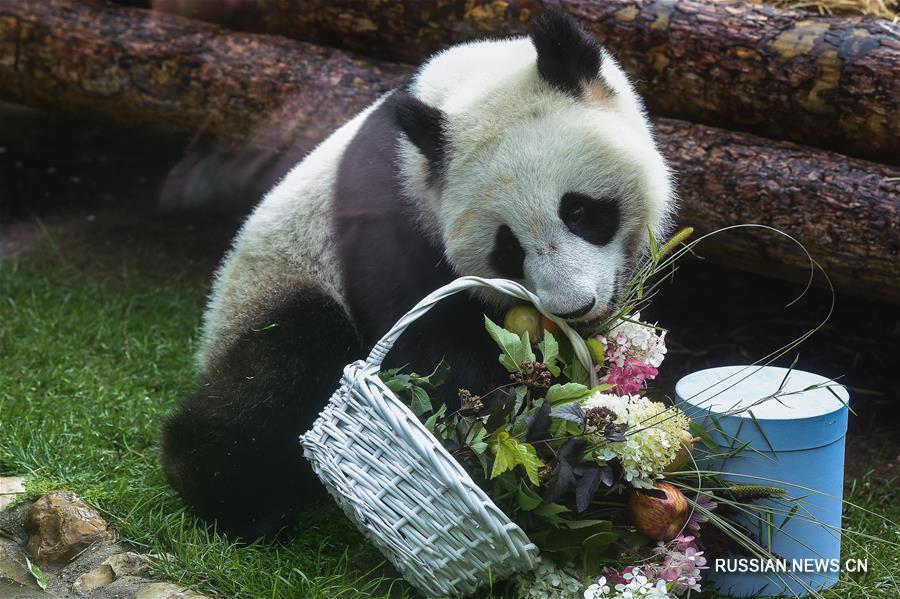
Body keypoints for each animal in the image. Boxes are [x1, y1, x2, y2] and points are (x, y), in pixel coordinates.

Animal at [160, 9, 676, 544]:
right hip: (271, 285)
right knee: (285, 363)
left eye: (578, 211)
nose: (573, 307)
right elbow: (425, 343)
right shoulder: (388, 218)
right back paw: (235, 500)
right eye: (507, 247)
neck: (463, 88)